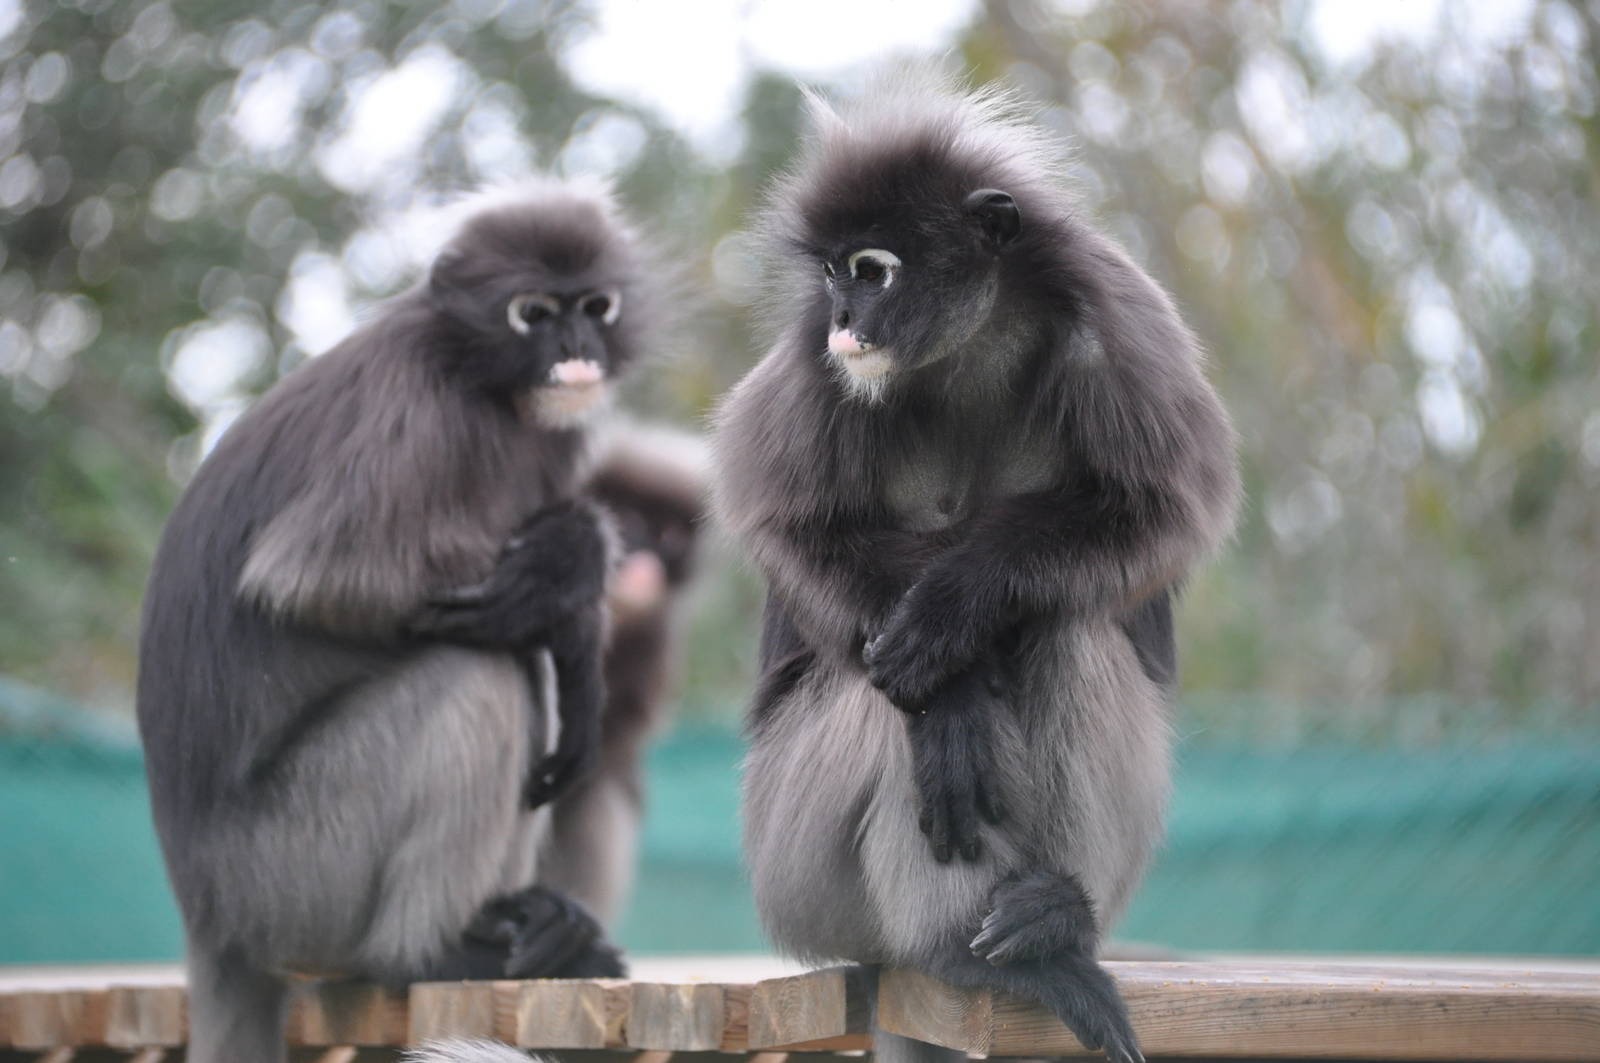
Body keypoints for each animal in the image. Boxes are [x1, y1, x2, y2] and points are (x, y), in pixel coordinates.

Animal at [136, 179, 663, 1063]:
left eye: (595, 305)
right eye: (532, 313)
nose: (577, 347)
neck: (476, 376)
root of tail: (206, 915)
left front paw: (574, 602)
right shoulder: (418, 415)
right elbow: (314, 582)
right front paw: (573, 582)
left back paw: (539, 932)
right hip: (292, 874)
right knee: (479, 671)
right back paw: (427, 953)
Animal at [713, 74, 1240, 1063]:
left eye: (871, 269)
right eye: (832, 275)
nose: (846, 318)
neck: (972, 342)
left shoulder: (1114, 315)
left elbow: (1165, 510)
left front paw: (958, 602)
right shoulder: (812, 357)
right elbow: (790, 528)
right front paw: (952, 697)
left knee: (1066, 622)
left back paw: (1049, 921)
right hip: (797, 873)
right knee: (886, 684)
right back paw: (966, 945)